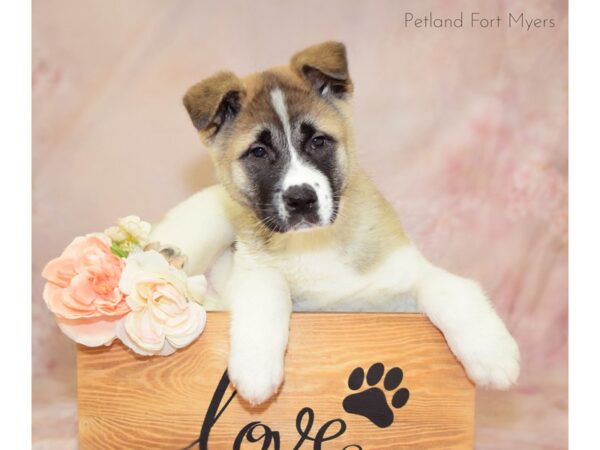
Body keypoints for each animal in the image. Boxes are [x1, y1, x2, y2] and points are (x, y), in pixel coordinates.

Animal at [151, 42, 520, 406]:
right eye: (258, 152)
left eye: (318, 141)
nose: (301, 200)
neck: (315, 243)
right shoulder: (254, 270)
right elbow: (267, 285)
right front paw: (256, 366)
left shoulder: (396, 284)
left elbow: (446, 284)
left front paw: (493, 353)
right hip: (206, 221)